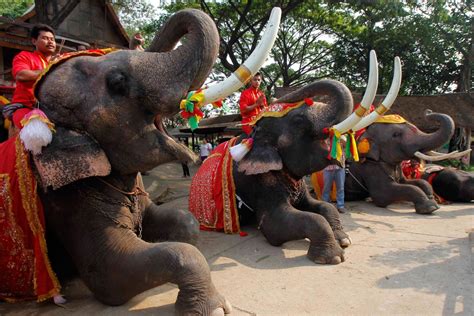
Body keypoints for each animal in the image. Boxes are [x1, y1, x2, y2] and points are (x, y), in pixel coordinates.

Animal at [0, 8, 237, 314]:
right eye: (117, 83)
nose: (138, 38)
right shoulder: (65, 201)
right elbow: (110, 276)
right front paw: (216, 307)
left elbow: (185, 222)